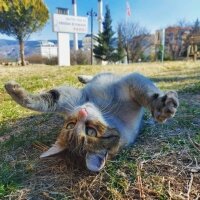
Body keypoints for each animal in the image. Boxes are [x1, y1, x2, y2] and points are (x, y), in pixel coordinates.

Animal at [5, 72, 180, 171]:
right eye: (71, 125)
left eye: (91, 131)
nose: (82, 111)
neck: (104, 109)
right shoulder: (71, 99)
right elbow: (47, 100)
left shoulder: (131, 83)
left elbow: (148, 94)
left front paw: (162, 107)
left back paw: (84, 77)